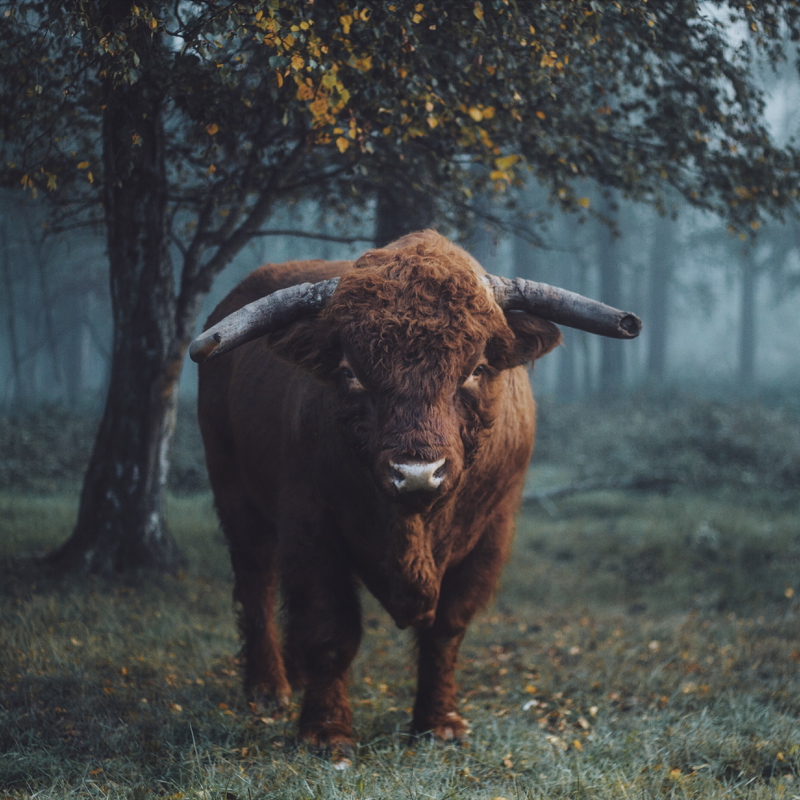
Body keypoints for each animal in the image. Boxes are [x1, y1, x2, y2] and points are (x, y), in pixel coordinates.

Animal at [191, 228, 640, 760]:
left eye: (477, 367)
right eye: (350, 371)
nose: (418, 473)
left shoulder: (491, 535)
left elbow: (446, 629)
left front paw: (439, 723)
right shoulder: (310, 526)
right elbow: (329, 628)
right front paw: (327, 731)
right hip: (234, 490)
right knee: (256, 582)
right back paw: (268, 688)